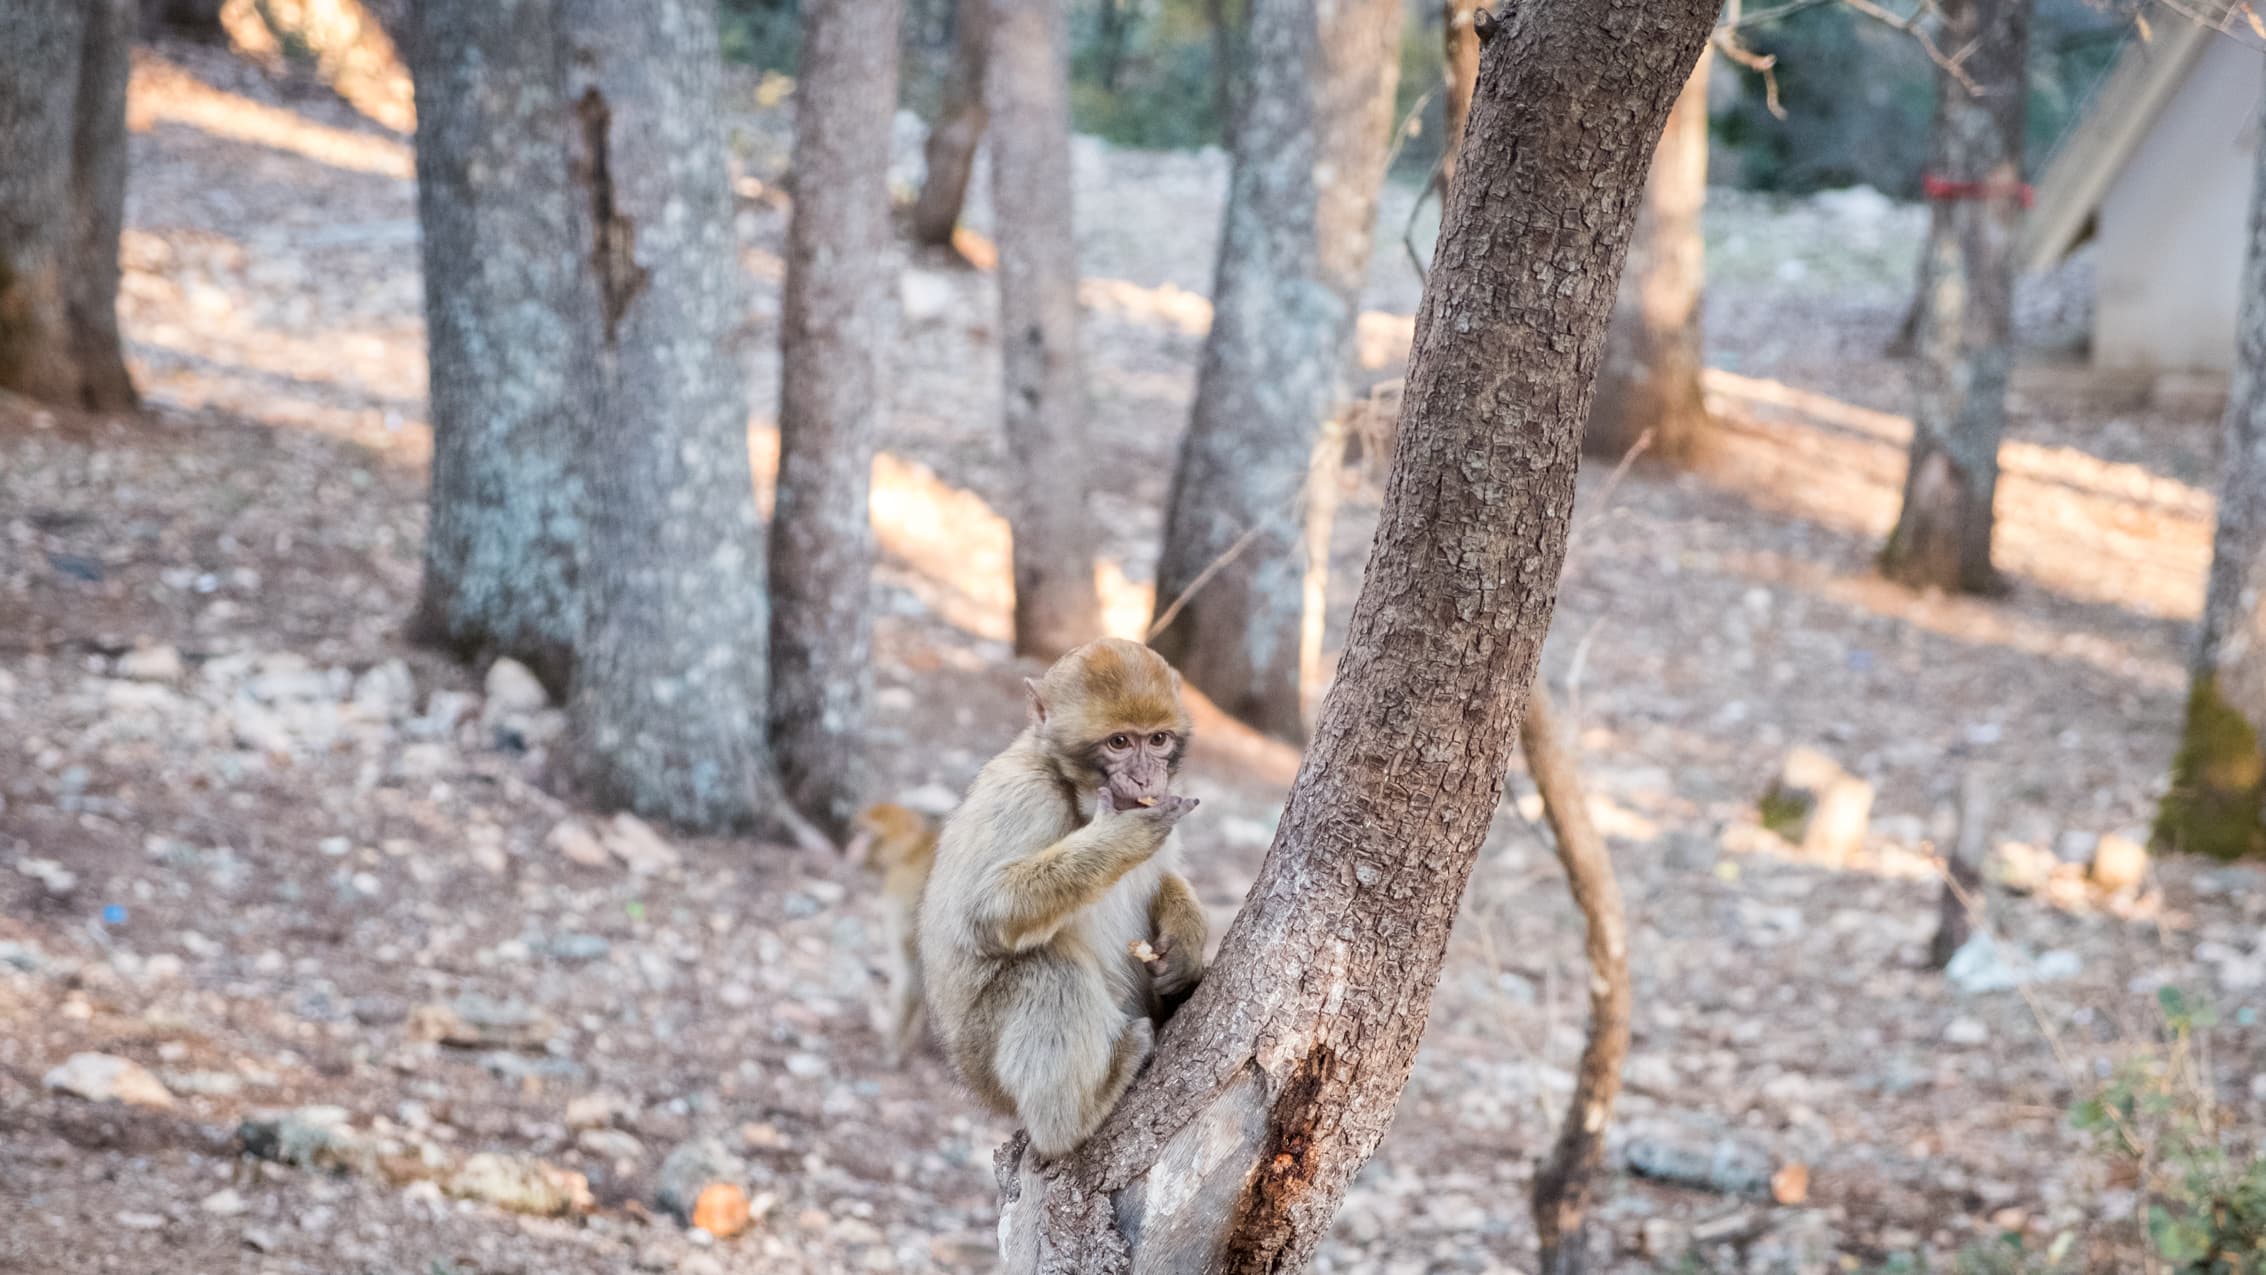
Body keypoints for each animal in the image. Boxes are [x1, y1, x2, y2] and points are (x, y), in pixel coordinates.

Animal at [915, 638, 1214, 1159]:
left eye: (1157, 740)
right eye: (1119, 743)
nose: (1146, 779)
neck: (1080, 793)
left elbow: (1164, 877)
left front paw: (1186, 939)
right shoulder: (1027, 795)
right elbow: (984, 911)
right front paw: (1121, 838)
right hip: (982, 1059)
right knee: (1046, 968)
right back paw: (1076, 1117)